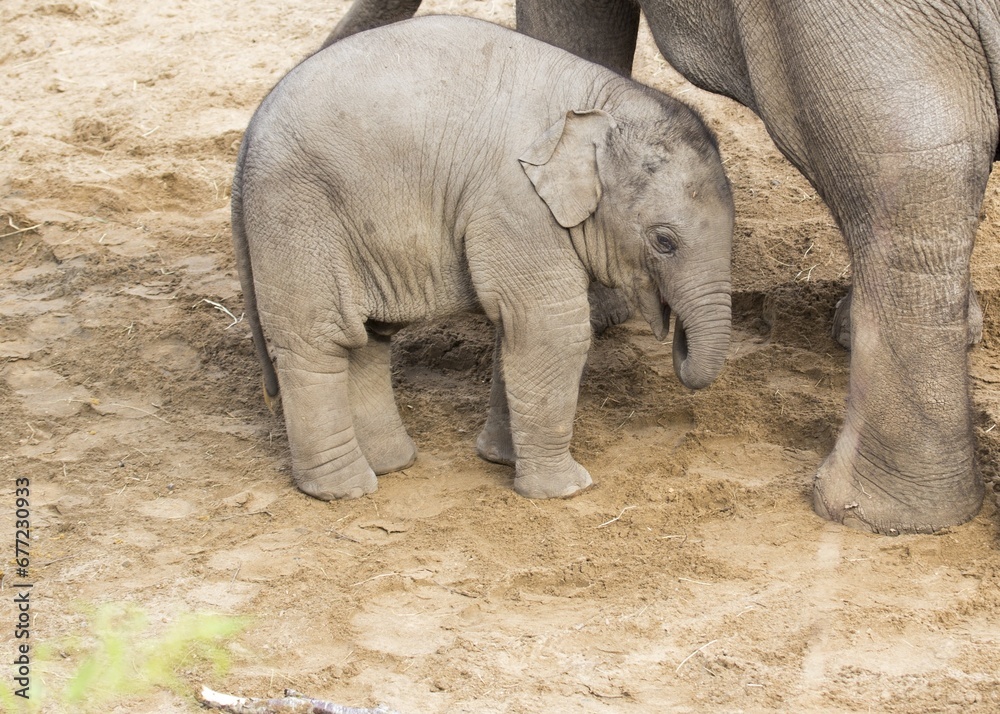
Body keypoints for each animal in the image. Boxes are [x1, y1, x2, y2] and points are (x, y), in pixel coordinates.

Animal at [233, 15, 735, 501]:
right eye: (664, 241)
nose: (676, 338)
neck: (601, 102)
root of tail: (248, 137)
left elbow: (514, 328)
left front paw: (501, 460)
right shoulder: (515, 203)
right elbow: (552, 326)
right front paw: (566, 490)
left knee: (368, 338)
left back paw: (391, 465)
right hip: (297, 213)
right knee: (316, 341)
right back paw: (345, 490)